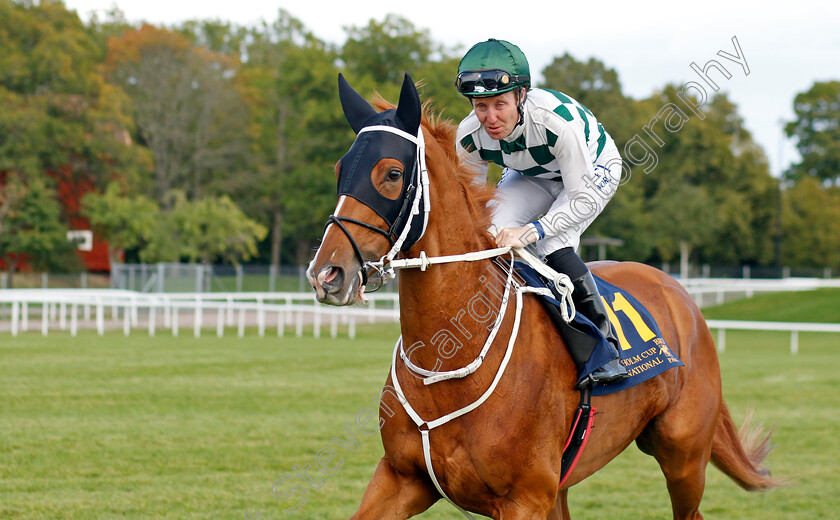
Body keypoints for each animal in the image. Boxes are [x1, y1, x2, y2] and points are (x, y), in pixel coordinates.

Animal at [308, 74, 780, 520]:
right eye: (339, 168)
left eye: (391, 173)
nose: (326, 273)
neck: (448, 365)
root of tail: (679, 292)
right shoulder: (403, 478)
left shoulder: (525, 499)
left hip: (684, 457)